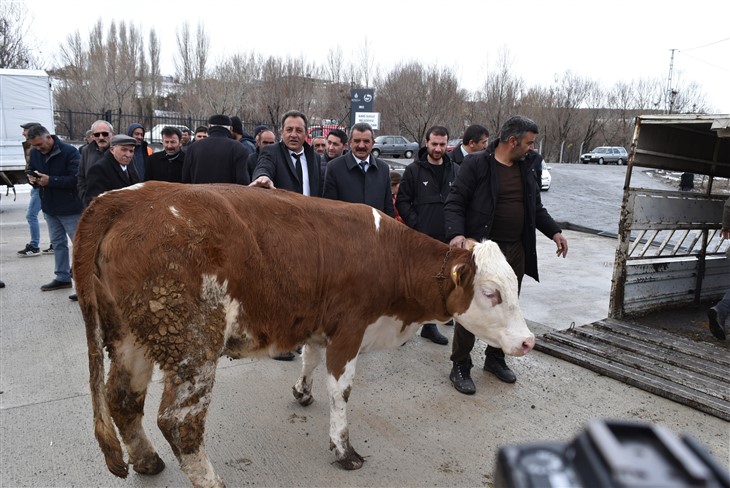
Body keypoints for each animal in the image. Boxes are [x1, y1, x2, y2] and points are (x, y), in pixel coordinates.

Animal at [74, 181, 532, 488]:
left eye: (516, 286)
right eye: (491, 293)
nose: (528, 341)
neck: (389, 257)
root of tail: (127, 197)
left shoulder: (318, 323)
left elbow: (311, 359)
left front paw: (302, 391)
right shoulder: (350, 328)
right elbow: (341, 390)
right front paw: (343, 450)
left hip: (130, 335)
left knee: (123, 399)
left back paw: (147, 461)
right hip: (192, 342)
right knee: (180, 422)